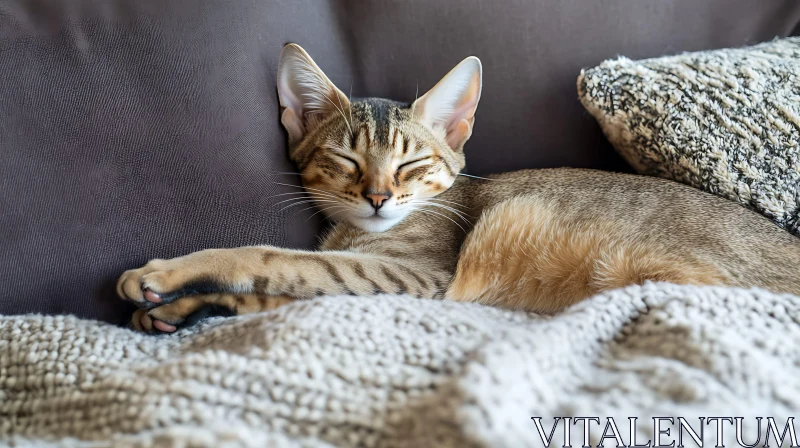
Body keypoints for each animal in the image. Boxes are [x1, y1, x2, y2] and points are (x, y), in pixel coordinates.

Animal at [117, 43, 800, 332]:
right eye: (345, 158)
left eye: (413, 165)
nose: (378, 198)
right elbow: (275, 291)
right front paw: (177, 309)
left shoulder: (416, 278)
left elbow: (269, 260)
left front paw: (167, 277)